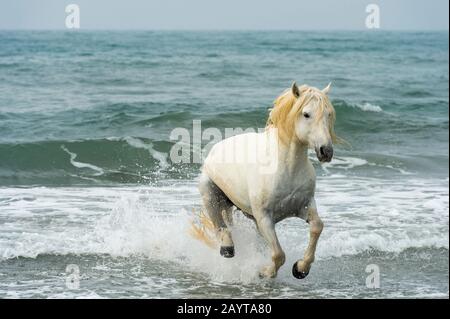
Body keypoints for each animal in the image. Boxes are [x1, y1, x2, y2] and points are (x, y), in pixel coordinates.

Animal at [193, 82, 338, 280]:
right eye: (306, 114)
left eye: (329, 114)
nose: (326, 151)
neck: (286, 168)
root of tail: (216, 148)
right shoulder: (264, 218)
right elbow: (278, 254)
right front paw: (265, 272)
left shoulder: (305, 205)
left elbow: (317, 227)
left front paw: (301, 268)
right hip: (210, 194)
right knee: (220, 225)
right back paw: (227, 248)